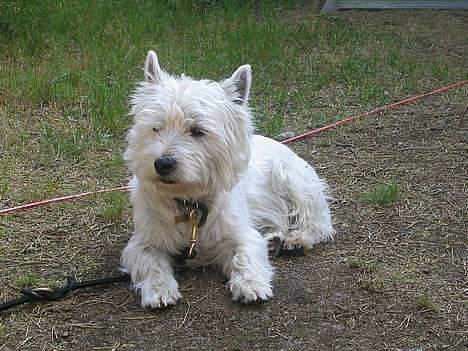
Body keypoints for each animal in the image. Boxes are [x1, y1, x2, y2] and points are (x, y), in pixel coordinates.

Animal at [120, 51, 332, 310]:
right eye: (155, 128)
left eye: (198, 131)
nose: (162, 164)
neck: (190, 204)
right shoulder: (143, 242)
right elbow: (150, 262)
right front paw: (159, 290)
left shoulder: (239, 233)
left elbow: (246, 254)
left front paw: (251, 284)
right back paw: (275, 240)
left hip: (292, 179)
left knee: (318, 222)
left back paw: (296, 239)